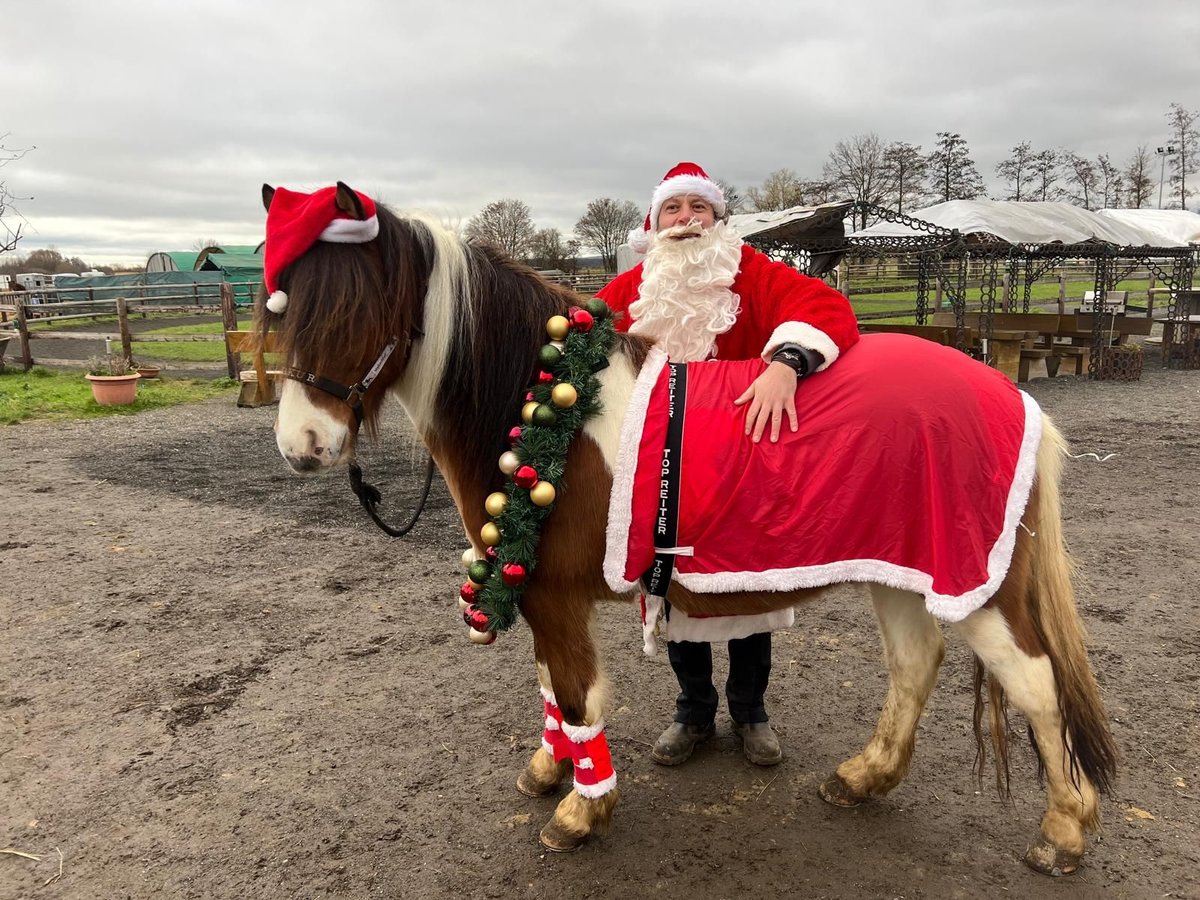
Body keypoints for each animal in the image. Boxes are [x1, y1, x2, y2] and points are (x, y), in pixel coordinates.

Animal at [259, 182, 1117, 876]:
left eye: (354, 311)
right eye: (281, 308)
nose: (302, 446)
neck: (544, 408)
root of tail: (1010, 395)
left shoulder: (556, 598)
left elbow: (576, 697)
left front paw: (582, 809)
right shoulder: (527, 585)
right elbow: (547, 690)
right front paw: (549, 770)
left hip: (980, 588)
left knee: (1036, 686)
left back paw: (1065, 832)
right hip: (903, 572)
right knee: (915, 664)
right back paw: (864, 776)